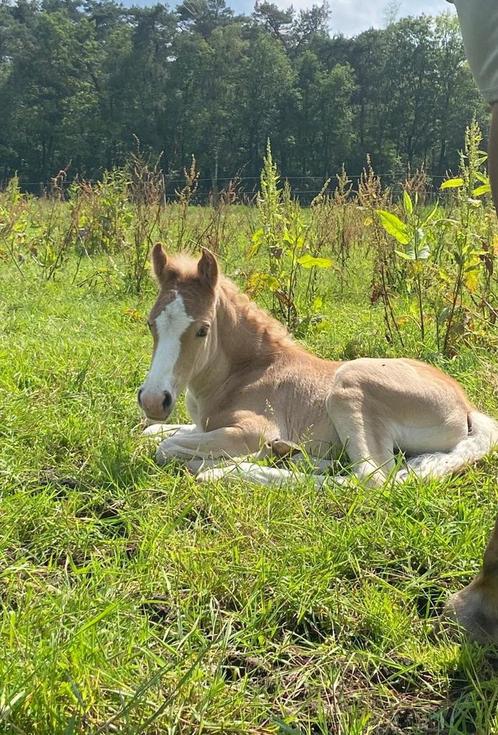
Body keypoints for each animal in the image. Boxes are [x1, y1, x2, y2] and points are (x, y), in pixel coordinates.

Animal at [137, 246, 498, 488]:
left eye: (202, 329)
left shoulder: (252, 430)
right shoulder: (201, 426)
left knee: (369, 478)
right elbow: (149, 432)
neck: (245, 373)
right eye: (150, 323)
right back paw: (287, 454)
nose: (154, 401)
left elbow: (165, 447)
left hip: (349, 386)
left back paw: (230, 469)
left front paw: (219, 461)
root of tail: (466, 406)